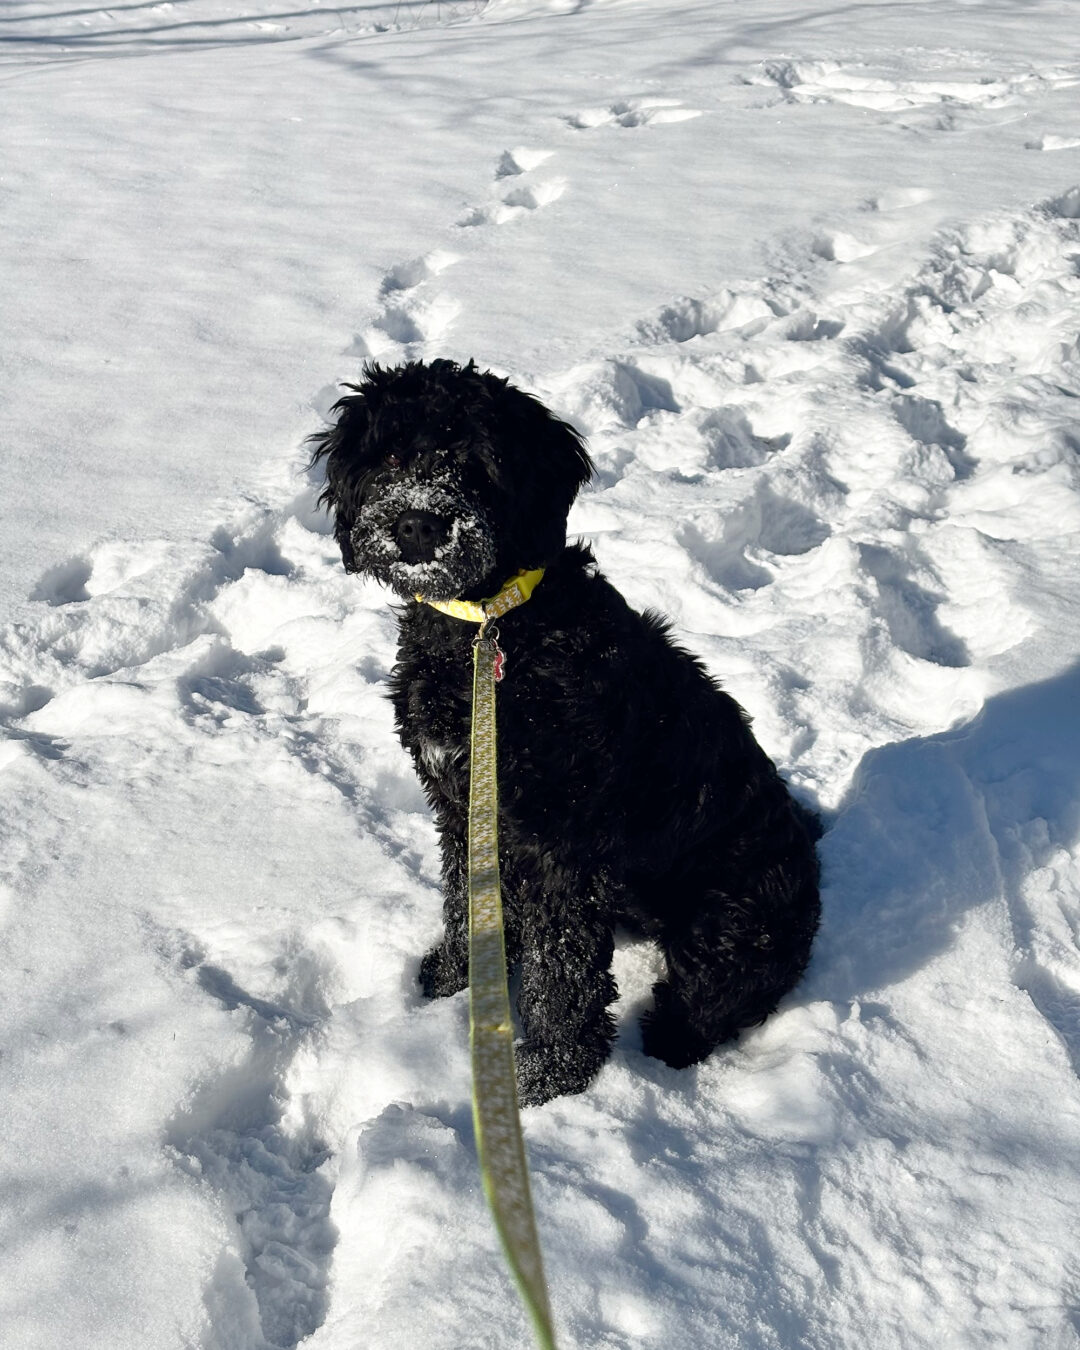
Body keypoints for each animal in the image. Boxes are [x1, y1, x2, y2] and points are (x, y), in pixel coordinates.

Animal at [310, 359, 820, 1107]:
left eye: (476, 463)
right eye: (394, 455)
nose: (419, 526)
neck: (487, 631)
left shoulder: (560, 842)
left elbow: (564, 966)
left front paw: (551, 1073)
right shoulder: (460, 806)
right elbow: (465, 897)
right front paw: (460, 975)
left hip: (732, 913)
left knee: (723, 993)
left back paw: (671, 1040)